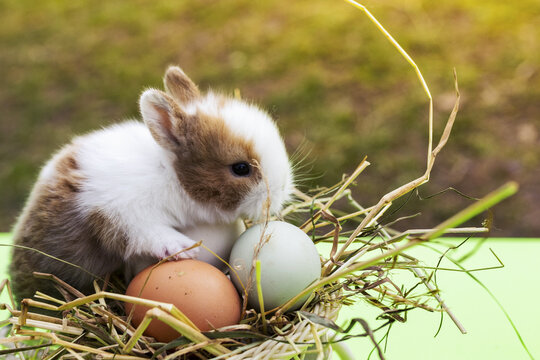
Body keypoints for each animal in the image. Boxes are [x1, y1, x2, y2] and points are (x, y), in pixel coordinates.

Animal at [8, 66, 294, 302]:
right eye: (241, 168)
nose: (281, 193)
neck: (168, 175)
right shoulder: (119, 211)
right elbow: (147, 233)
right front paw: (183, 249)